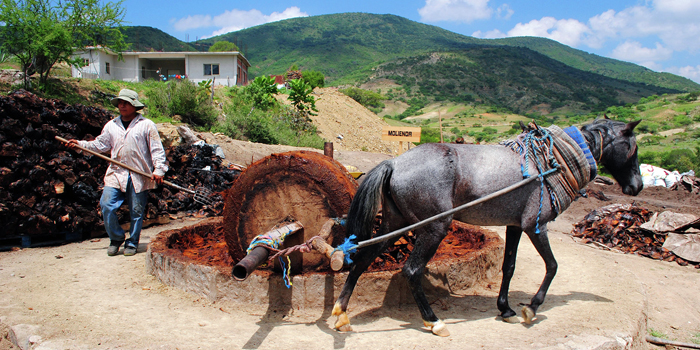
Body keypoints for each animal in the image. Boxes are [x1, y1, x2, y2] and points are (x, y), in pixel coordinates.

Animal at [330, 118, 644, 336]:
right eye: (633, 147)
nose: (638, 186)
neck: (550, 161)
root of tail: (394, 163)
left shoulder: (514, 226)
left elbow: (509, 266)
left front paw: (505, 309)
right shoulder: (536, 226)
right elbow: (553, 266)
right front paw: (531, 308)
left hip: (396, 225)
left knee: (362, 261)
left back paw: (341, 314)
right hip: (434, 228)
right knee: (411, 271)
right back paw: (434, 321)